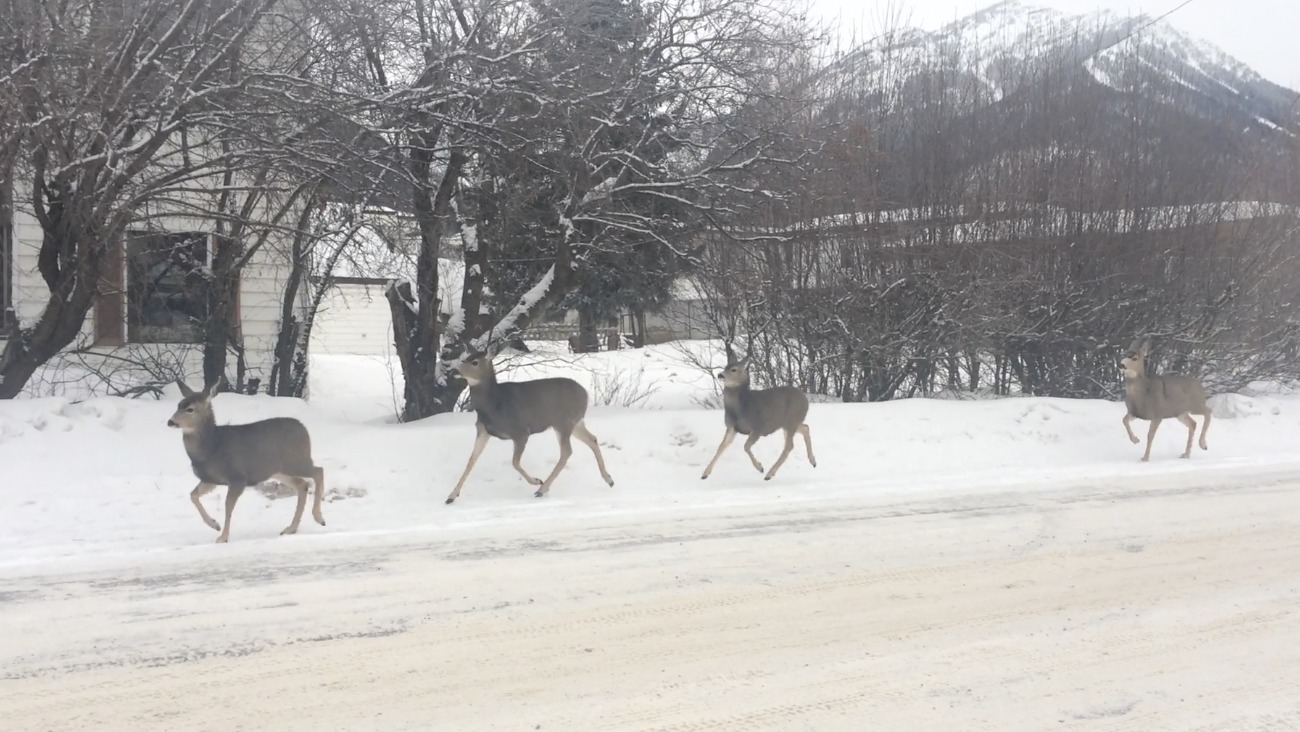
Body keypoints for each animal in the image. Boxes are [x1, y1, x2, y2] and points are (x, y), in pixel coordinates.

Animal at [168, 381, 326, 543]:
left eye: (190, 409)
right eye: (179, 405)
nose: (170, 422)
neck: (212, 447)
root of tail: (304, 429)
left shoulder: (238, 477)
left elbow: (228, 505)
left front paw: (223, 537)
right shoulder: (210, 479)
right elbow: (193, 495)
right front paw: (214, 524)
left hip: (295, 460)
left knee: (318, 471)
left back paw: (319, 518)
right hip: (279, 470)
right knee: (303, 484)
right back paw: (291, 528)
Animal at [444, 350, 614, 504]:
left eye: (475, 362)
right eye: (465, 358)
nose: (454, 371)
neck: (494, 404)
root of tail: (585, 393)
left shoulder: (520, 431)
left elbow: (514, 462)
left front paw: (536, 480)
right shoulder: (483, 431)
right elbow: (471, 461)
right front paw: (451, 496)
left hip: (563, 422)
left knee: (567, 451)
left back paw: (542, 489)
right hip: (575, 423)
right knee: (592, 439)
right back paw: (609, 479)